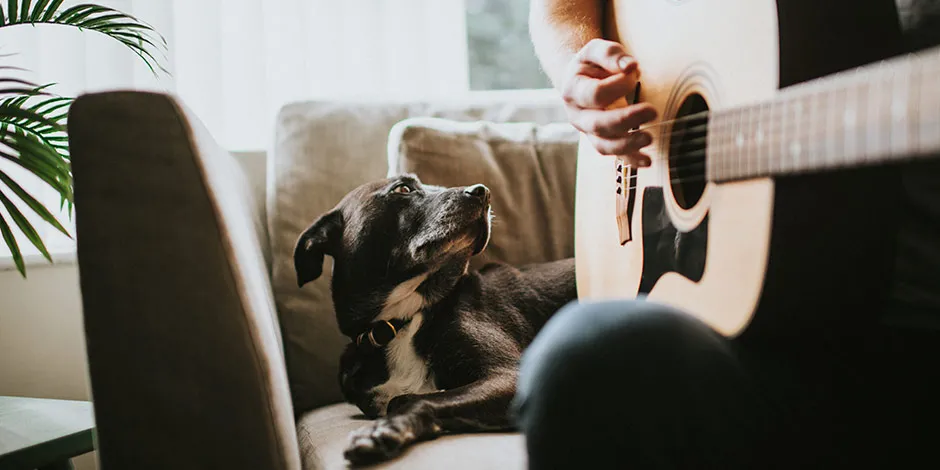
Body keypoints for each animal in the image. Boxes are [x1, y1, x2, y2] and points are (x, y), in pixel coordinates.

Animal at [294, 173, 576, 466]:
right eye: (402, 189)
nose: (484, 192)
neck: (401, 321)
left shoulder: (511, 375)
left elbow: (408, 400)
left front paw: (383, 430)